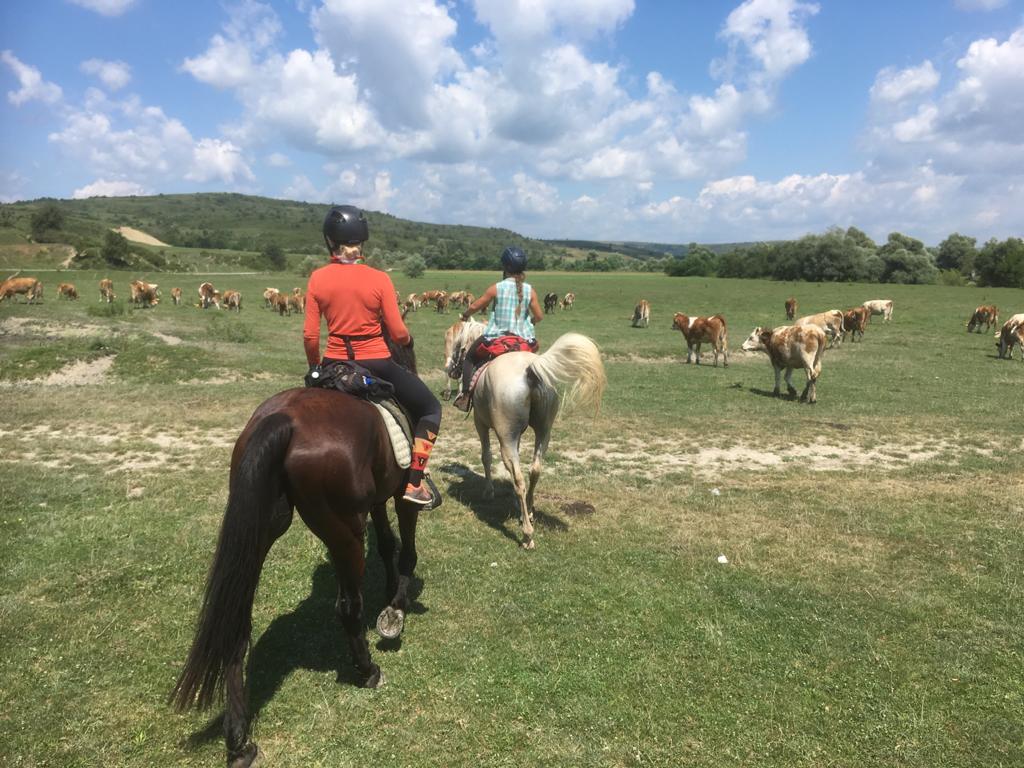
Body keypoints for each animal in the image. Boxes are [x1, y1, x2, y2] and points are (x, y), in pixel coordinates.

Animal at [170, 338, 424, 768]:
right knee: (348, 607)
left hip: (262, 527)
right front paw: (397, 605)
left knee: (237, 623)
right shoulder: (402, 493)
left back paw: (238, 741)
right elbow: (405, 547)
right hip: (344, 531)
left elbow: (387, 543)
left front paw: (391, 594)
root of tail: (284, 420)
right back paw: (367, 670)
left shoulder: (377, 497)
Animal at [454, 331, 606, 549]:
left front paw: (489, 492)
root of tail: (530, 371)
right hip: (543, 432)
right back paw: (530, 512)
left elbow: (486, 457)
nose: (452, 370)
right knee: (535, 470)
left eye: (458, 349)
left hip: (506, 438)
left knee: (519, 479)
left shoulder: (480, 424)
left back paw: (527, 535)